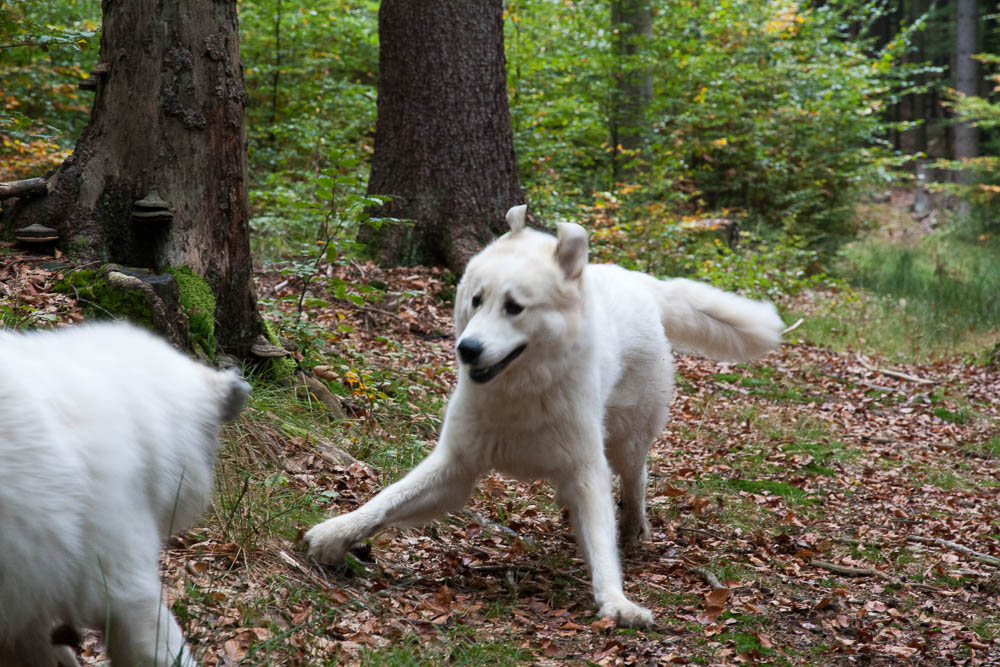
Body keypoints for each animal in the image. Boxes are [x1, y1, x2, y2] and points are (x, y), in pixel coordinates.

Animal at [304, 206, 780, 628]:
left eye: (514, 307)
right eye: (476, 300)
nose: (467, 349)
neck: (519, 391)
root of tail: (641, 281)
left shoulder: (587, 469)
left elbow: (603, 547)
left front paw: (617, 603)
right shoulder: (455, 468)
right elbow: (385, 500)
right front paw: (334, 534)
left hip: (628, 439)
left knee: (635, 479)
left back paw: (633, 526)